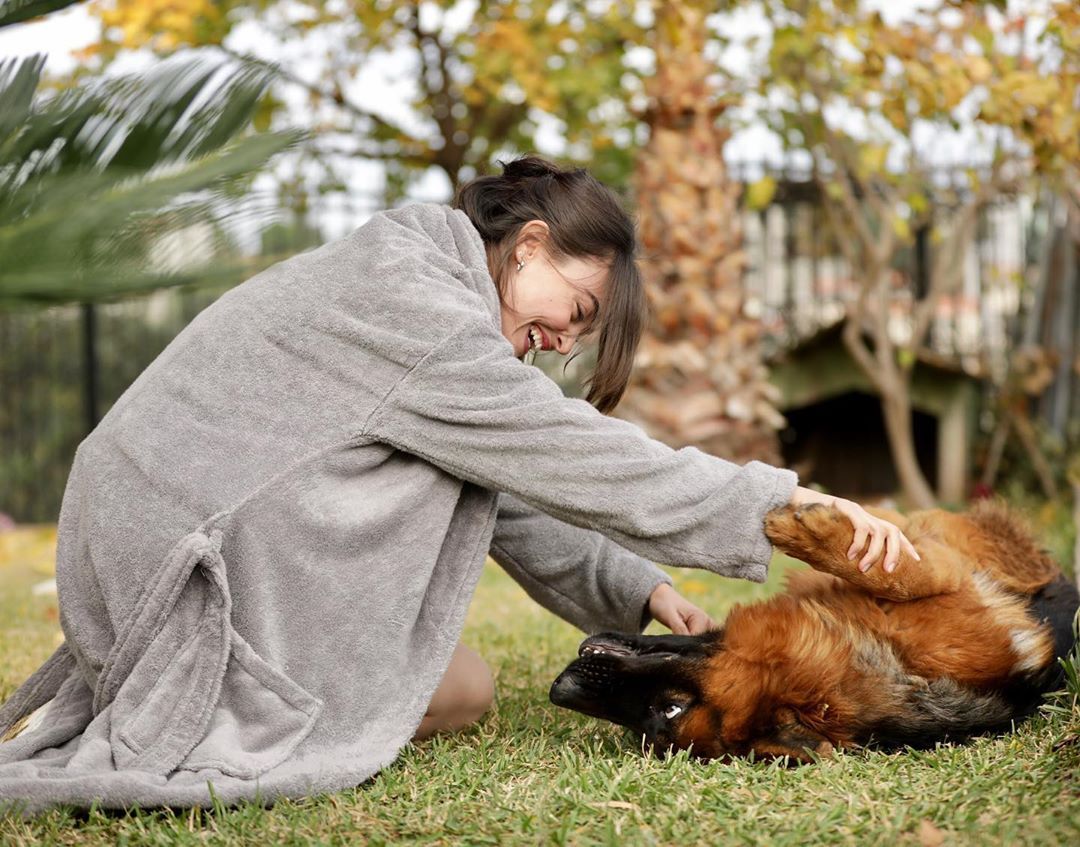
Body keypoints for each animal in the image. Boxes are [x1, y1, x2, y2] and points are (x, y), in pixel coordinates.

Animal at [552, 499, 1075, 764]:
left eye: (671, 709)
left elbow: (899, 570)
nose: (561, 690)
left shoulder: (953, 572)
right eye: (656, 729)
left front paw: (816, 530)